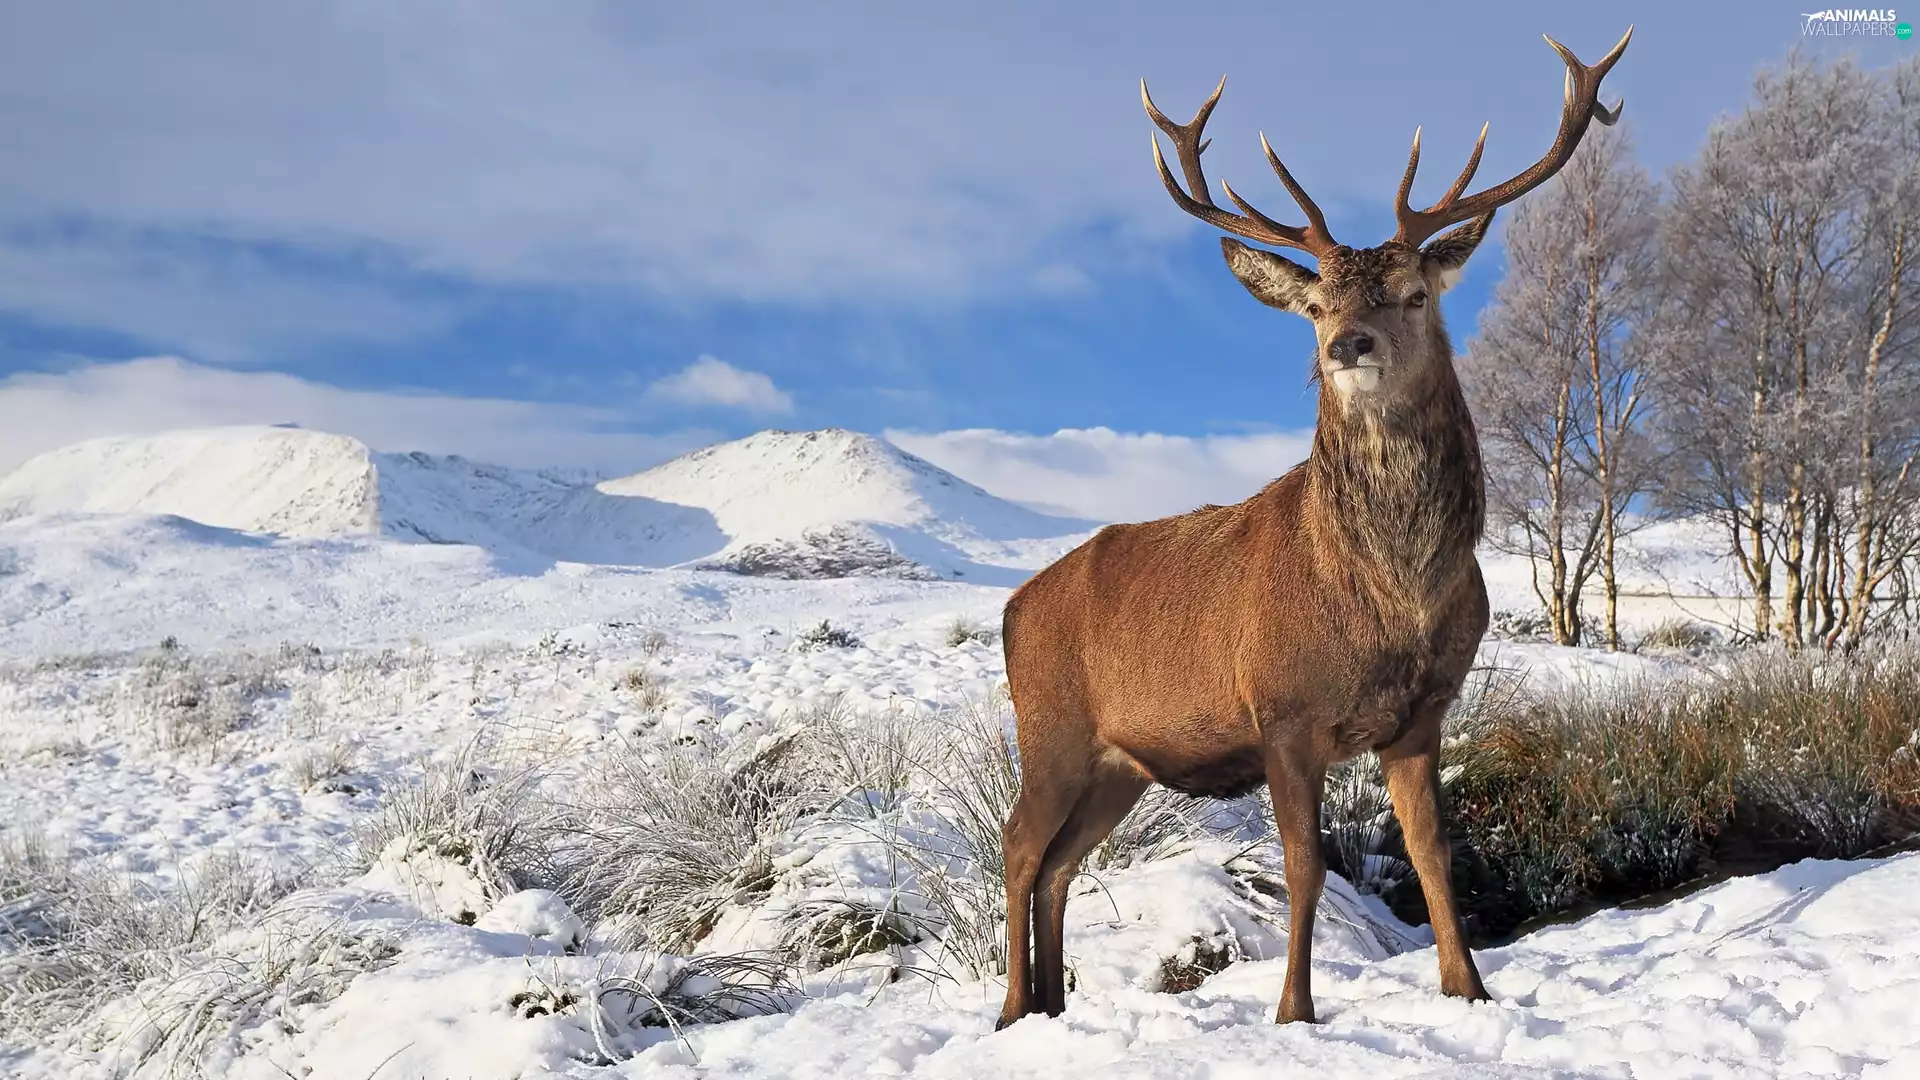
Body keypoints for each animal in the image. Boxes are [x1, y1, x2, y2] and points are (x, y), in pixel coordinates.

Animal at [995, 27, 1631, 1029]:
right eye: (1317, 304)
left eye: (1414, 293)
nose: (1346, 346)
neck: (1391, 598)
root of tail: (1012, 610)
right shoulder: (1282, 712)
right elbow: (1304, 868)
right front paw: (1294, 1011)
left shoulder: (1421, 715)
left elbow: (1432, 855)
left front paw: (1469, 989)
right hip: (1050, 725)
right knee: (1019, 846)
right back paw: (1013, 1009)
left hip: (1119, 763)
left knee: (1060, 861)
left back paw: (1055, 1007)